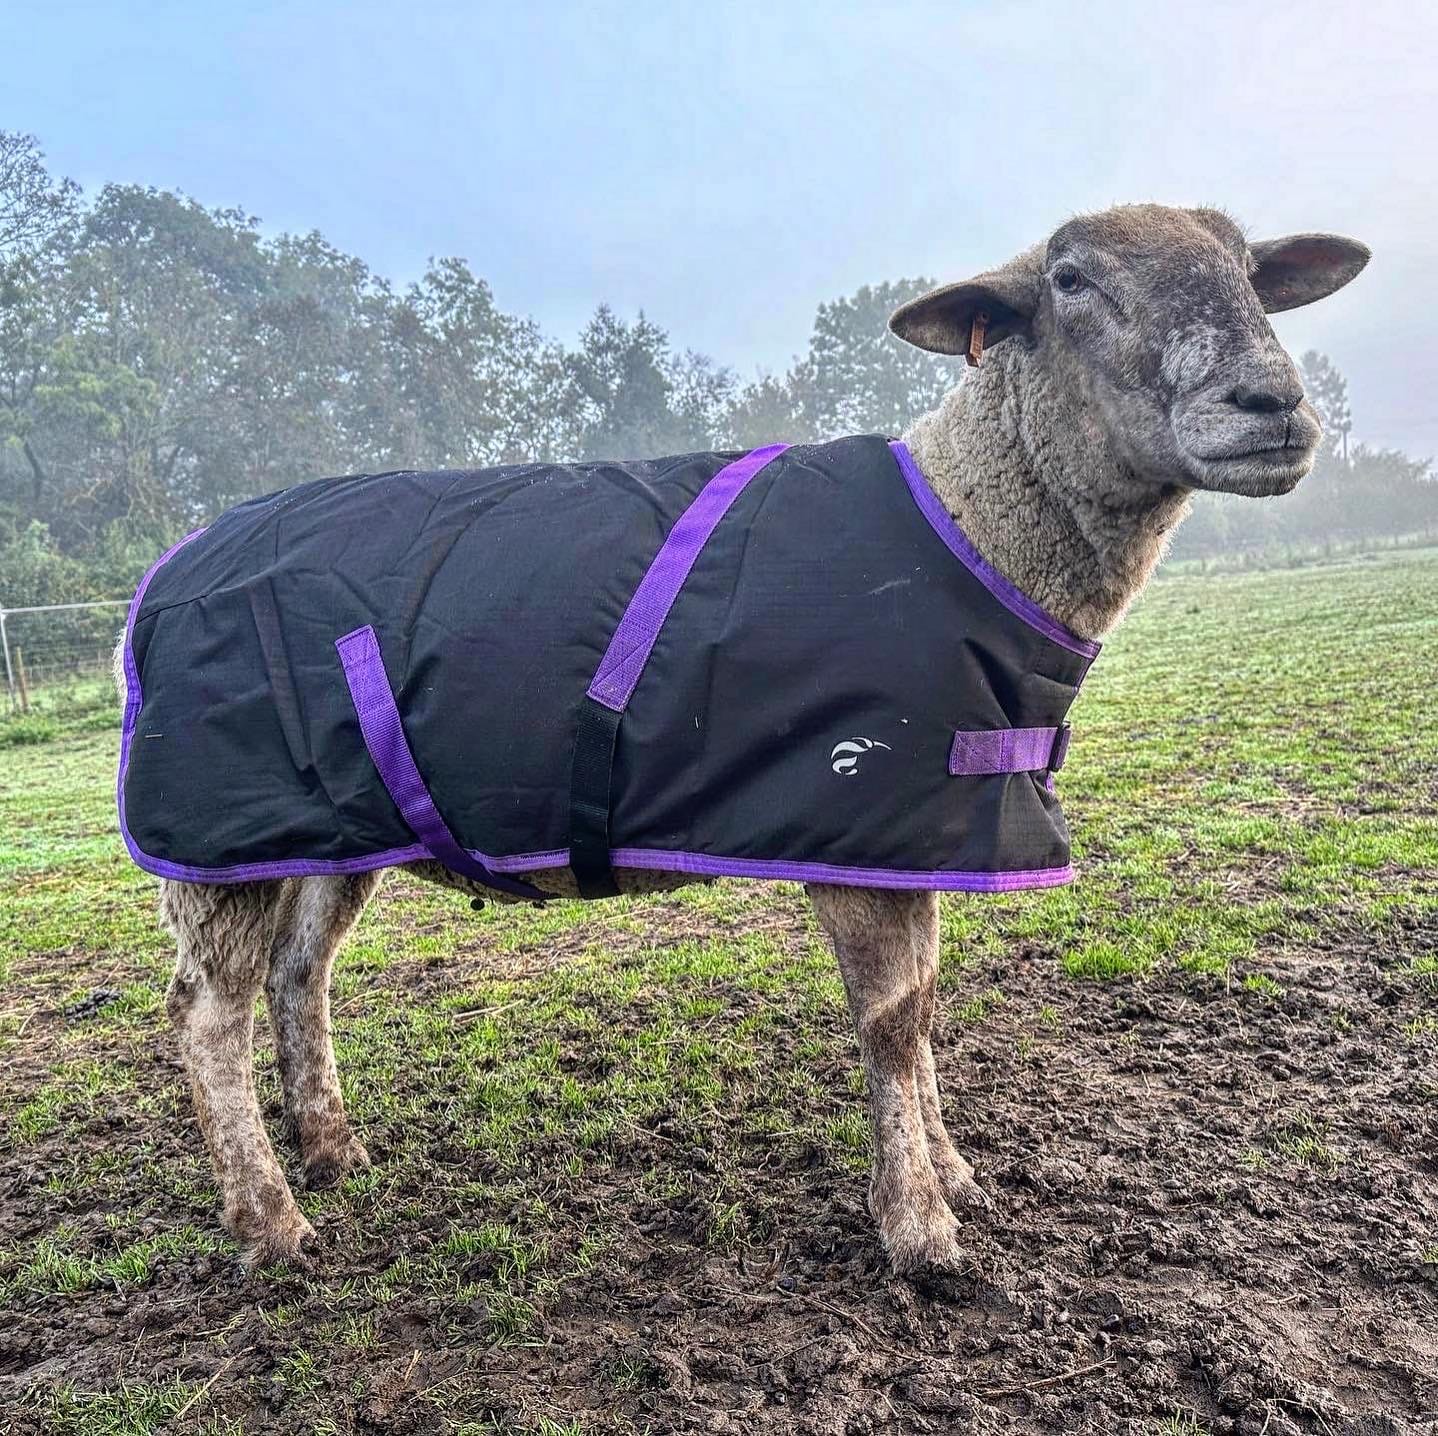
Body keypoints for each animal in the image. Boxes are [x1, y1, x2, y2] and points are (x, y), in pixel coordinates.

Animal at [128, 203, 1368, 1277]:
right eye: (1068, 281)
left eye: (1253, 270)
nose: (1270, 403)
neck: (972, 521)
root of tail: (168, 570)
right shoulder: (852, 819)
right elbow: (891, 1022)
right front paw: (918, 1227)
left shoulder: (918, 824)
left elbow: (924, 1006)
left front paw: (951, 1172)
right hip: (215, 835)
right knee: (207, 1015)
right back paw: (270, 1219)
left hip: (321, 822)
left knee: (300, 973)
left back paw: (332, 1148)